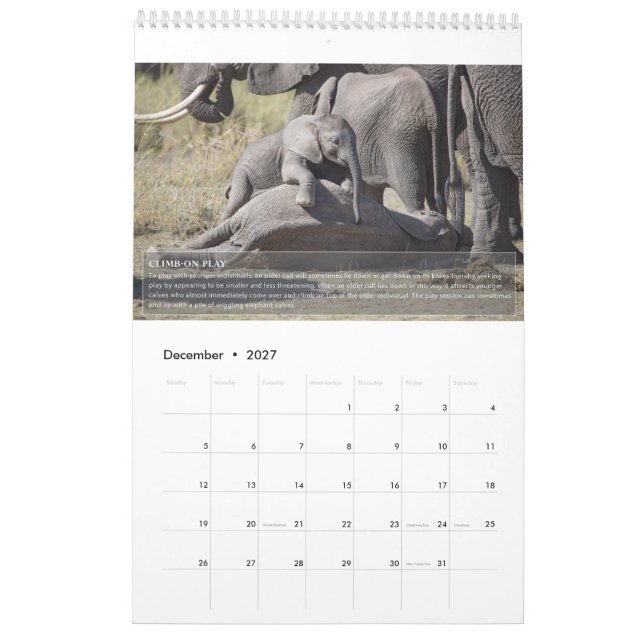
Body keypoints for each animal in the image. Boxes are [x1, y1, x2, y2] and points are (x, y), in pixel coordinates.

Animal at [221, 114, 362, 224]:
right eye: (335, 142)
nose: (357, 221)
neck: (316, 121)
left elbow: (328, 173)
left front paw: (348, 188)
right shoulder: (293, 148)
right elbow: (290, 171)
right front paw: (304, 203)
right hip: (241, 173)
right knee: (237, 200)